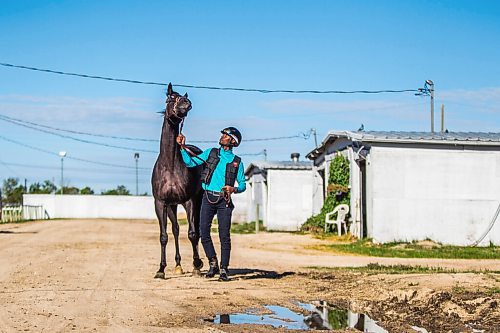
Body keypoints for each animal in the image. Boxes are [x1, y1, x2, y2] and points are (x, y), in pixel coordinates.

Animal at [150, 83, 203, 278]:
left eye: (183, 97)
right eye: (170, 98)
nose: (186, 103)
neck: (171, 165)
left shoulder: (189, 201)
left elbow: (193, 234)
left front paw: (197, 264)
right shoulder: (161, 203)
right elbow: (164, 235)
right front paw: (161, 269)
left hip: (198, 201)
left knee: (196, 230)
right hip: (172, 206)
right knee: (176, 230)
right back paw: (178, 265)